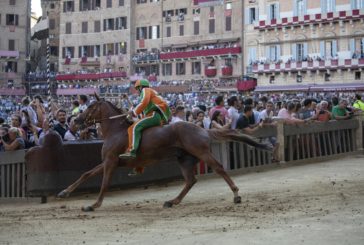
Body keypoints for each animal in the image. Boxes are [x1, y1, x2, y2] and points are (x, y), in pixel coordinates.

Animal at [57, 94, 270, 212]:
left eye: (91, 107)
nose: (76, 121)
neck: (116, 131)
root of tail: (202, 129)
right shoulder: (109, 161)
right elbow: (86, 174)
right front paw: (64, 192)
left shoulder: (110, 162)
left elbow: (104, 184)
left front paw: (93, 205)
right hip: (184, 159)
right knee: (191, 180)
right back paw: (172, 201)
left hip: (201, 153)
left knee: (219, 169)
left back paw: (236, 194)